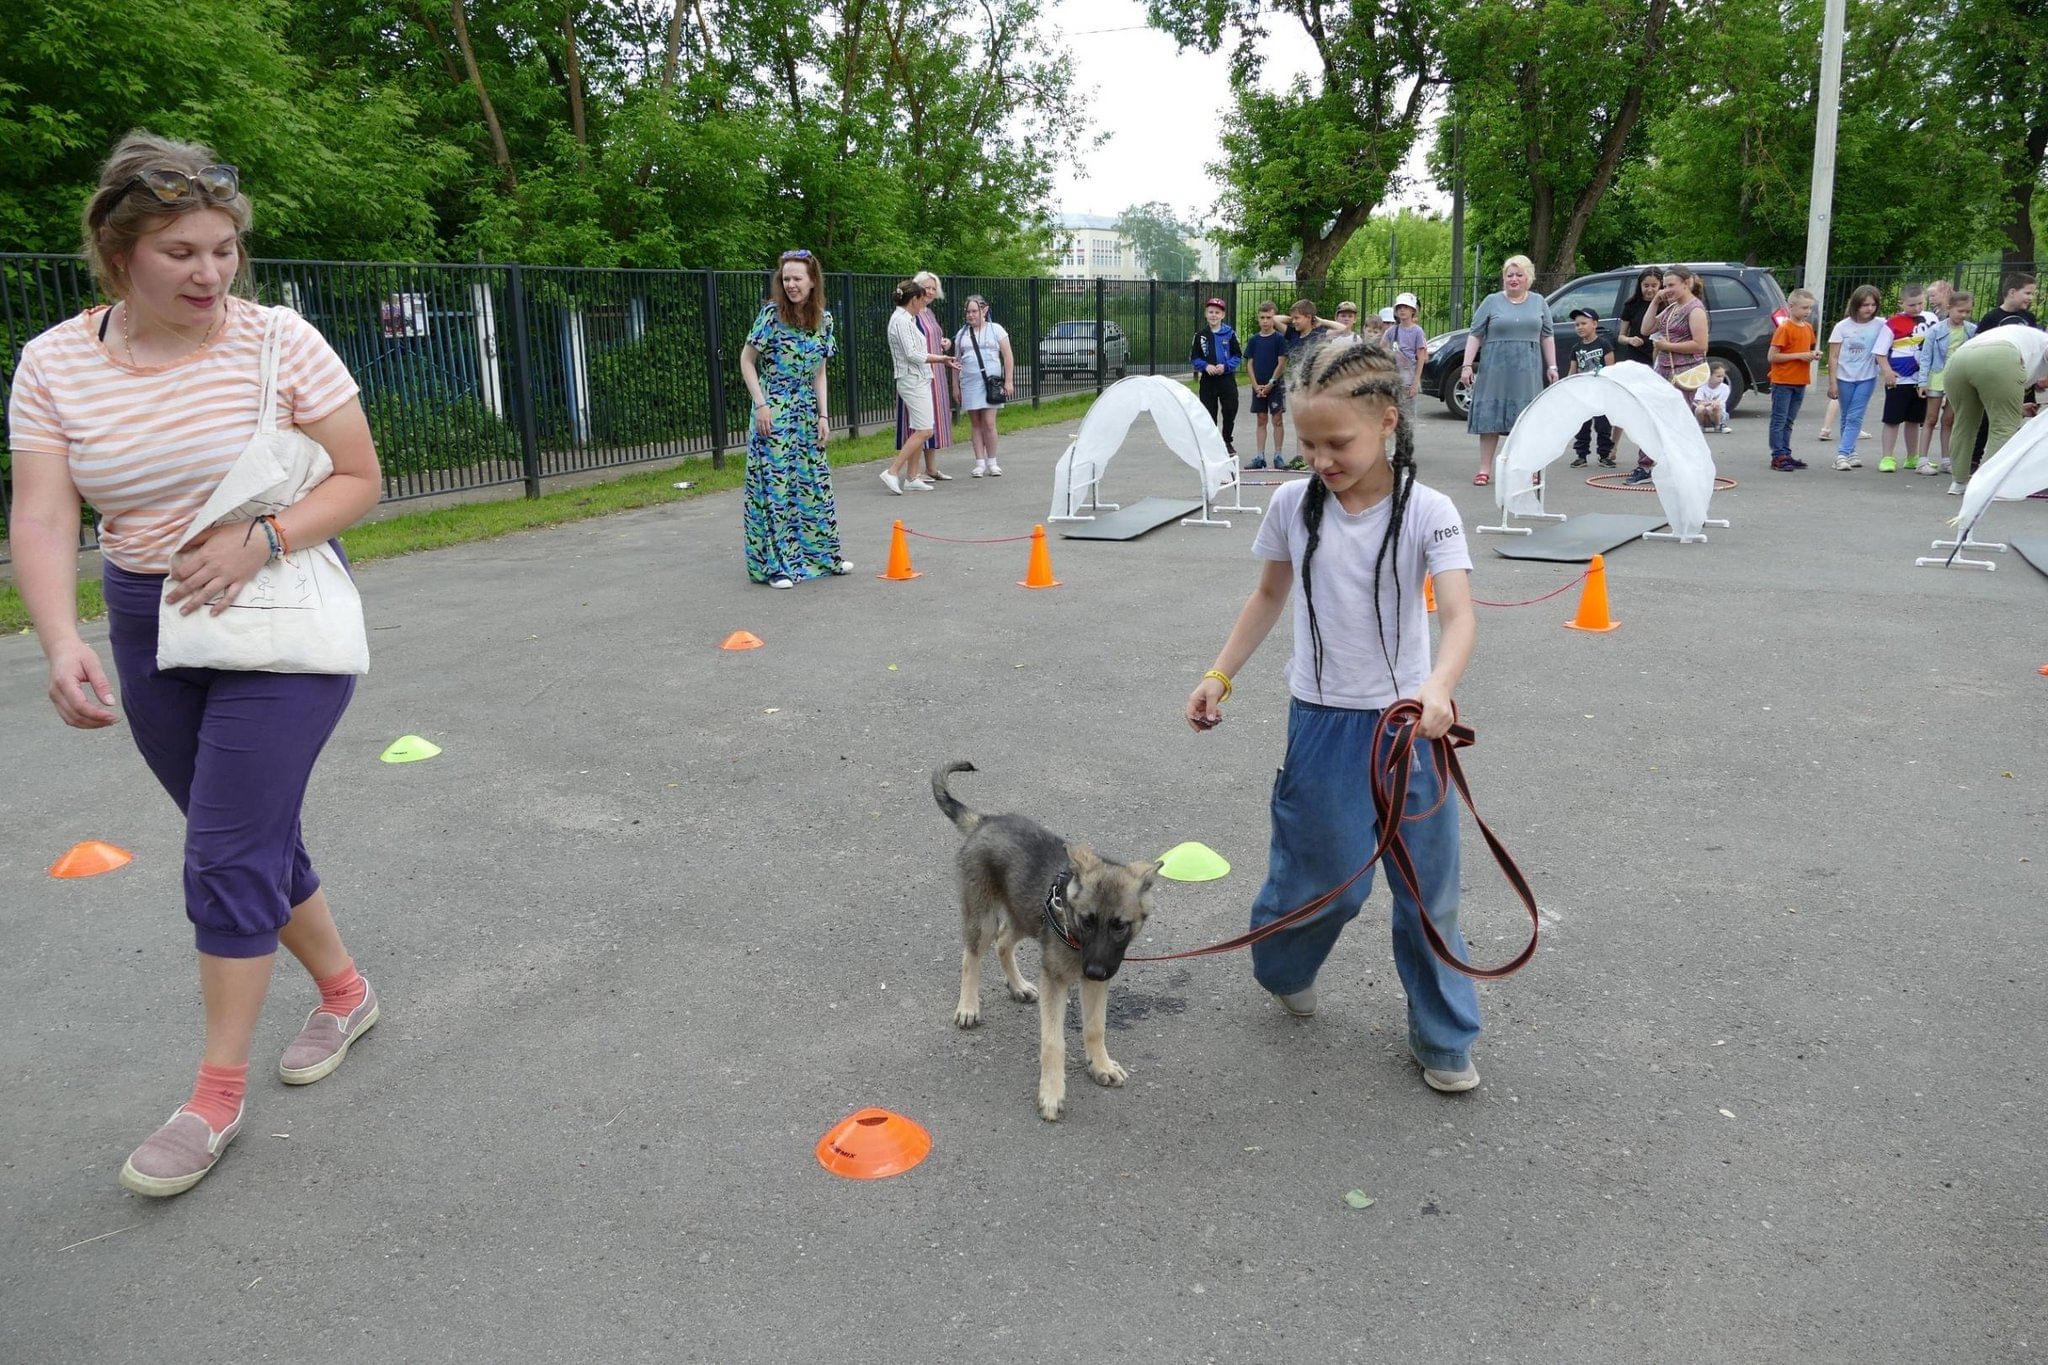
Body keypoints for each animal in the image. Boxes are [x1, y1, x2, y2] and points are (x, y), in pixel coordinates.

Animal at [937, 757, 1163, 1121]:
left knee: (1003, 941)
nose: (1095, 970)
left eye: (1120, 925)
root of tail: (985, 821)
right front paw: (1052, 1092)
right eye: (1087, 920)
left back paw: (1017, 986)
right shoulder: (1055, 980)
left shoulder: (1095, 982)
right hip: (983, 916)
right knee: (972, 954)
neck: (1074, 935)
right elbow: (1053, 1042)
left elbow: (1095, 1027)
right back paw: (969, 1006)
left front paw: (1100, 1065)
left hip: (1025, 916)